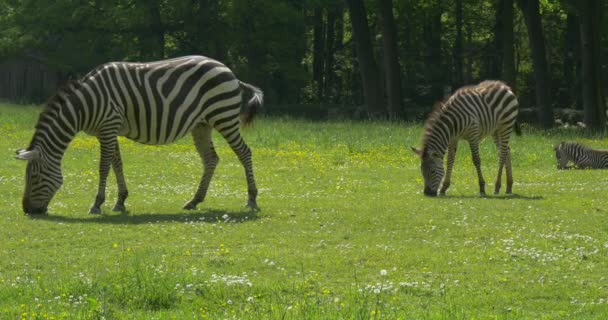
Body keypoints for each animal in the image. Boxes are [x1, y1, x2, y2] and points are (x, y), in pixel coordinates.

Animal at [16, 55, 264, 215]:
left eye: (34, 177)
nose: (27, 210)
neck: (85, 105)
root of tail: (229, 71)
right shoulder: (107, 130)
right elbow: (117, 164)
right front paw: (120, 202)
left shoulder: (108, 126)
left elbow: (104, 166)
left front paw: (97, 204)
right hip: (202, 124)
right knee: (211, 159)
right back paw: (194, 201)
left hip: (224, 117)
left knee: (244, 153)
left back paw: (251, 199)